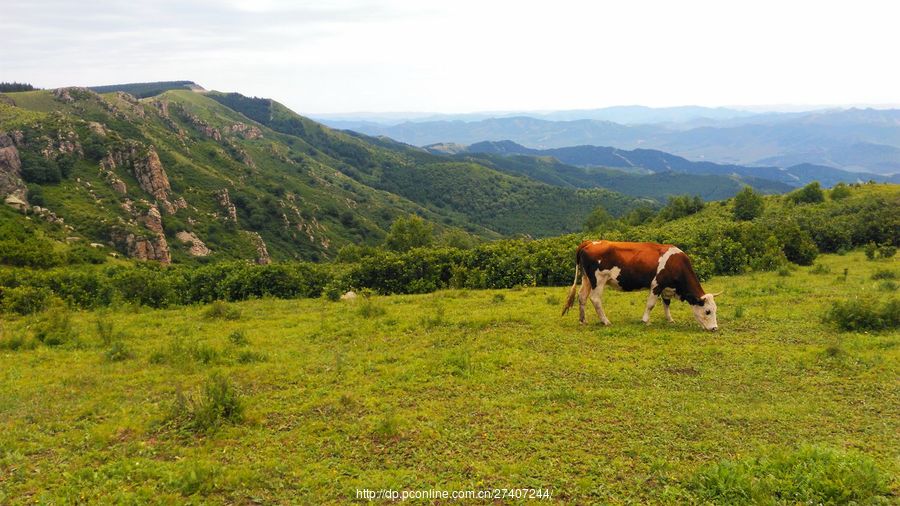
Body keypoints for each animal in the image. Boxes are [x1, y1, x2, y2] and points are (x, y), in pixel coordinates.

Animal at [560, 241, 720, 332]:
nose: (714, 328)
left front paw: (670, 319)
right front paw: (645, 320)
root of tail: (589, 242)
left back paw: (583, 320)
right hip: (598, 279)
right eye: (707, 311)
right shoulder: (657, 284)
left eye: (715, 310)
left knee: (582, 296)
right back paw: (605, 321)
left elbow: (666, 304)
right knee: (595, 299)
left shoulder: (666, 288)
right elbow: (651, 304)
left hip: (586, 278)